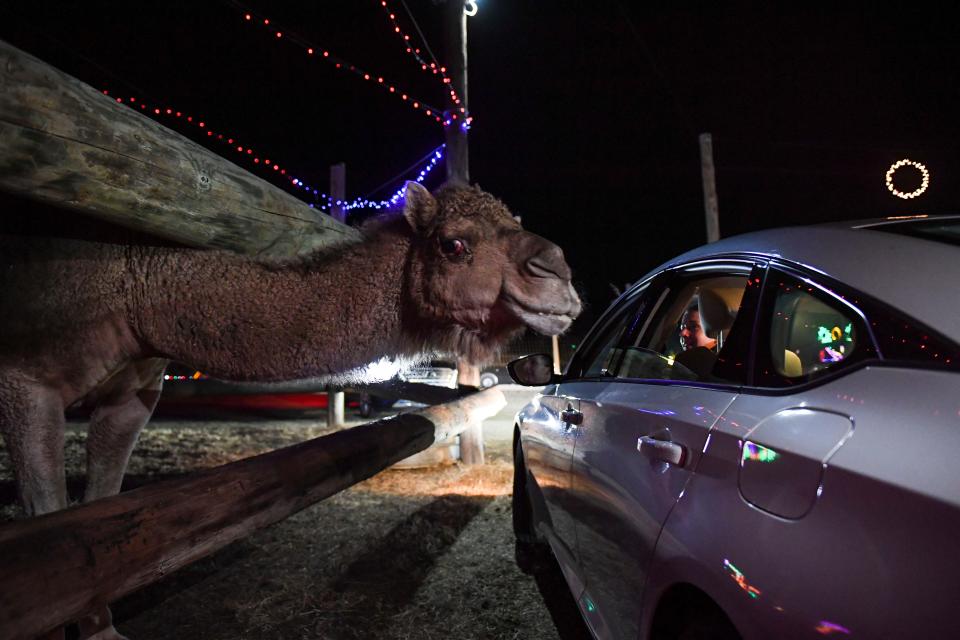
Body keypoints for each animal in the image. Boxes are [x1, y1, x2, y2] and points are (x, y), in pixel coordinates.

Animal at [0, 181, 576, 640]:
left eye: (511, 221)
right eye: (454, 244)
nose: (559, 274)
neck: (130, 287)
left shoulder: (133, 392)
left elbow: (95, 516)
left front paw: (103, 632)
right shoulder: (24, 379)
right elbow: (49, 527)